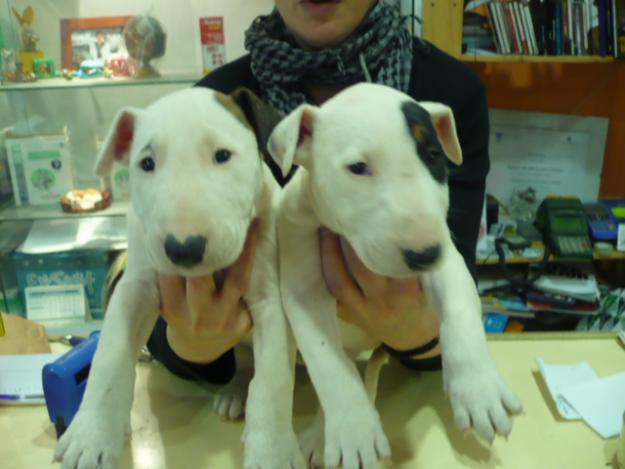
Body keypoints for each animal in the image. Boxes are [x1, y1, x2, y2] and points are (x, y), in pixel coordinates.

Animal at [54, 88, 304, 468]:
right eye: (146, 164)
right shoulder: (134, 289)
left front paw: (272, 451)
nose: (183, 249)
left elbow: (273, 380)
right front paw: (90, 436)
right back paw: (235, 392)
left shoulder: (270, 300)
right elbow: (108, 359)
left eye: (222, 155)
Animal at [268, 82, 520, 468]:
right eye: (358, 167)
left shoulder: (448, 259)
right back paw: (321, 434)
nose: (425, 255)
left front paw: (479, 390)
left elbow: (460, 309)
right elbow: (326, 359)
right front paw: (355, 431)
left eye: (432, 155)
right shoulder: (300, 274)